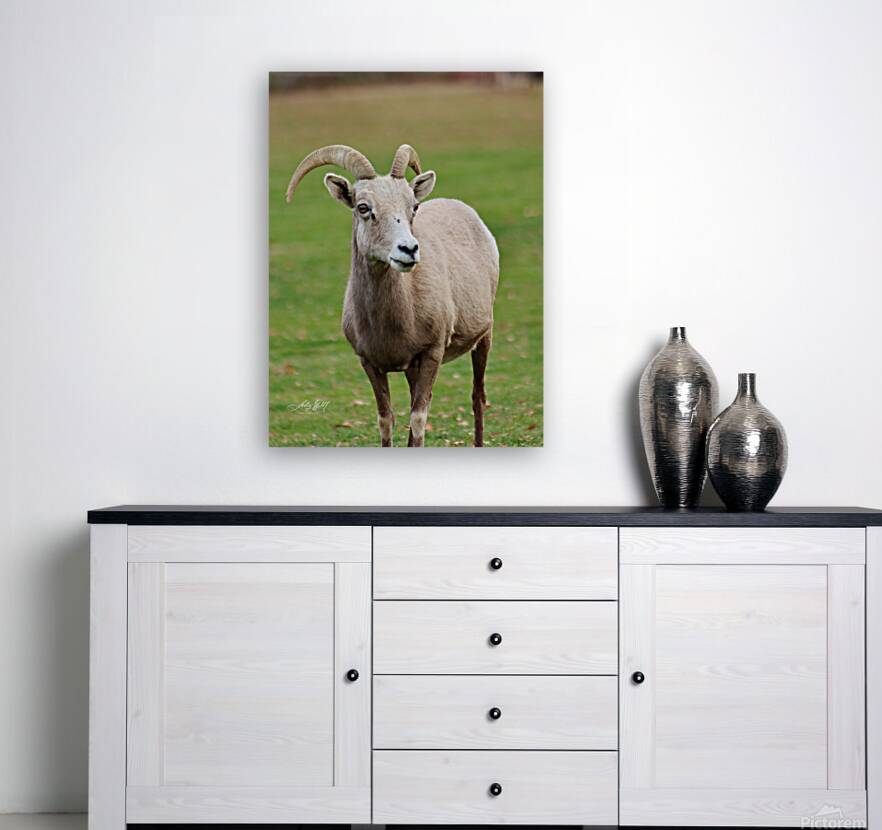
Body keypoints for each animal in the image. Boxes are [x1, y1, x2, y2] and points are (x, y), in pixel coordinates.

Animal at [286, 144, 499, 447]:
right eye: (363, 207)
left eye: (414, 207)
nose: (408, 249)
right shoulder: (370, 363)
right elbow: (386, 420)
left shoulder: (432, 354)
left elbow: (418, 419)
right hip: (413, 369)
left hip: (483, 338)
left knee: (477, 397)